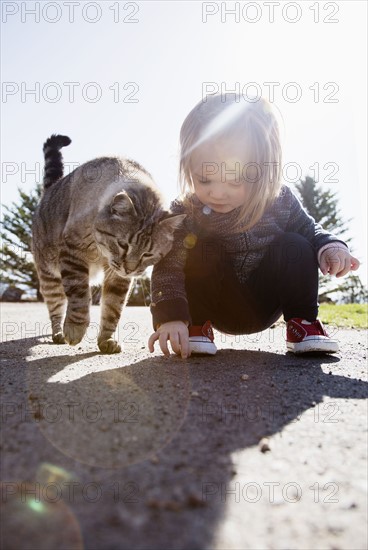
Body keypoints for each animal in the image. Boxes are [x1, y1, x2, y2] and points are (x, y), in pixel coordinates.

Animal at [32, 136, 184, 356]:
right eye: (122, 244)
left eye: (148, 254)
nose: (129, 269)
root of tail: (50, 189)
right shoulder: (73, 254)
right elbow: (79, 297)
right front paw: (75, 329)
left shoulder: (118, 278)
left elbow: (112, 309)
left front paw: (106, 340)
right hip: (50, 277)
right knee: (56, 308)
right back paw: (58, 333)